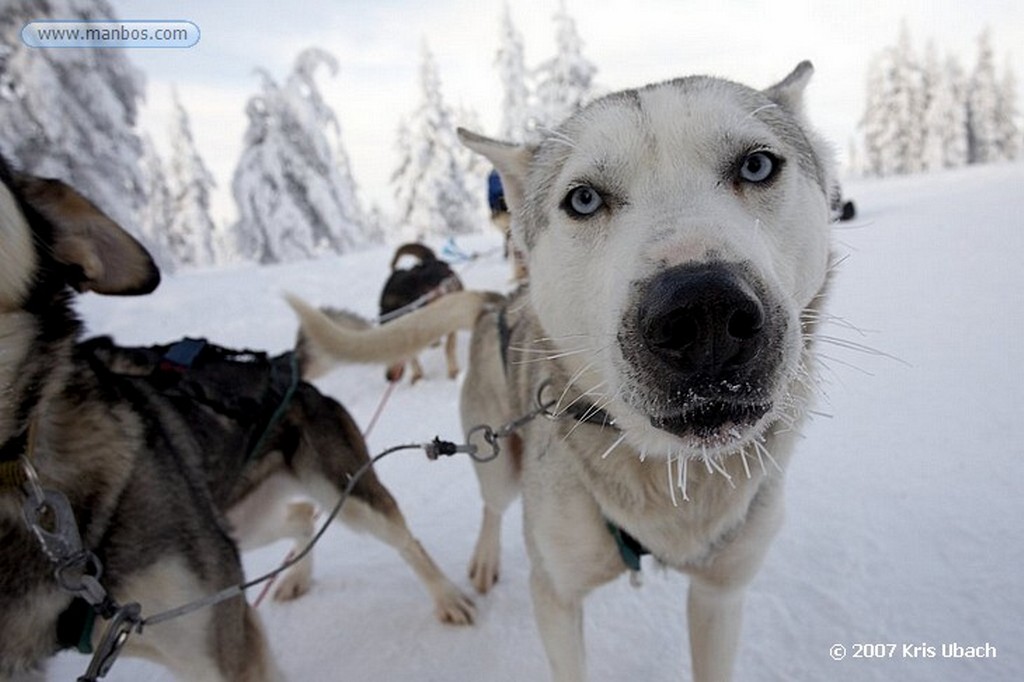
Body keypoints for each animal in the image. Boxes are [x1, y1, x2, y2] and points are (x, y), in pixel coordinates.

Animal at [378, 241, 462, 382]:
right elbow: (413, 357)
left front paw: (453, 371)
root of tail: (428, 260)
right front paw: (417, 376)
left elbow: (448, 348)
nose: (388, 377)